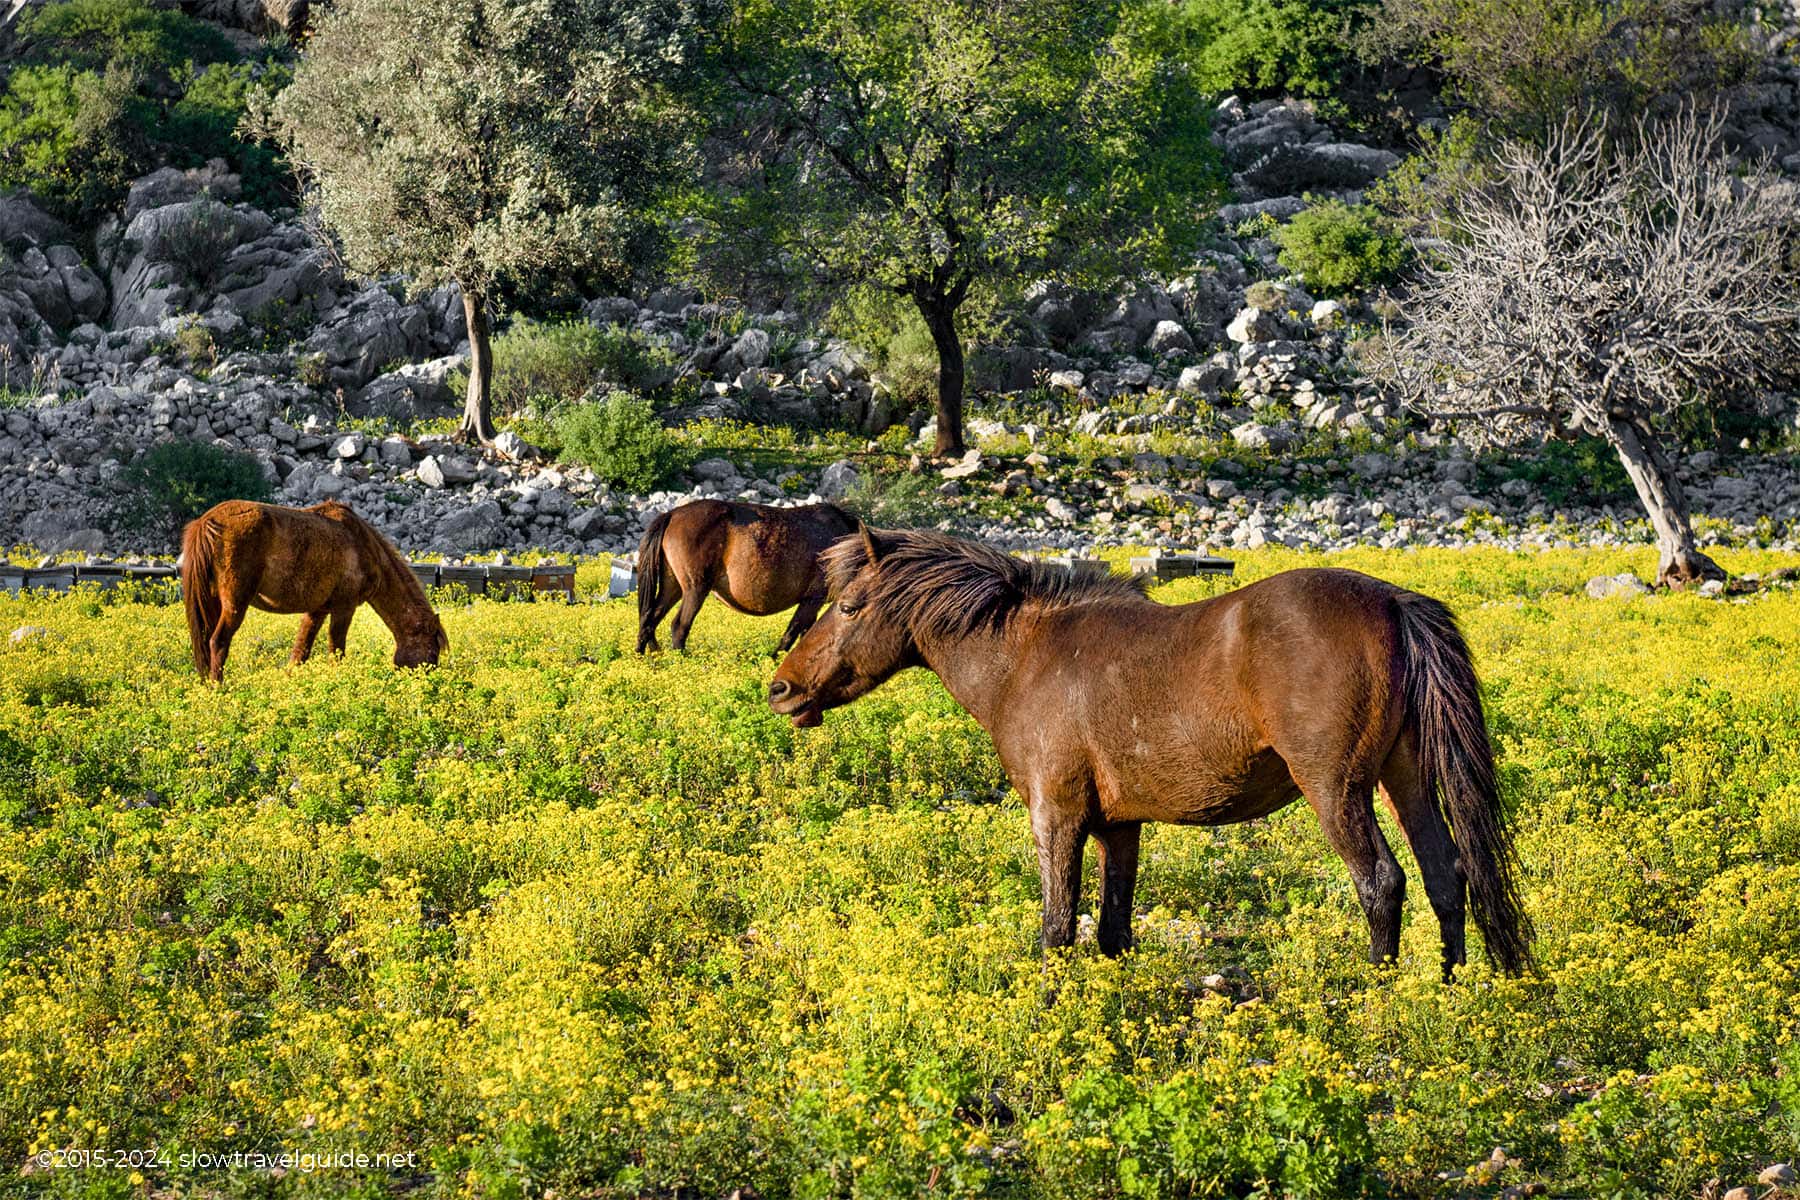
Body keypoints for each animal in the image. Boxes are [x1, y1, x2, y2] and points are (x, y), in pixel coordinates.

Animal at [180, 500, 450, 683]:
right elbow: (336, 650)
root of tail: (207, 521)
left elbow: (300, 652)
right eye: (432, 651)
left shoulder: (317, 610)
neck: (362, 544)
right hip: (235, 603)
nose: (430, 683)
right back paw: (218, 687)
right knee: (218, 641)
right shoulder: (344, 607)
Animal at [640, 503, 864, 662]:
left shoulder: (813, 603)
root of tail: (672, 514)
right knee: (679, 626)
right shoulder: (812, 600)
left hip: (673, 587)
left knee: (649, 619)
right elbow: (791, 634)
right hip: (695, 589)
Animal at [770, 528, 1533, 978]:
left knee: (1382, 882)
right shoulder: (1119, 826)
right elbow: (1113, 930)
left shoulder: (1057, 816)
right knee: (1445, 874)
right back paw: (1450, 987)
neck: (1024, 657)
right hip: (1403, 778)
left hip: (1337, 789)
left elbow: (1057, 928)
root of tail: (1393, 600)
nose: (782, 688)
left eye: (848, 605)